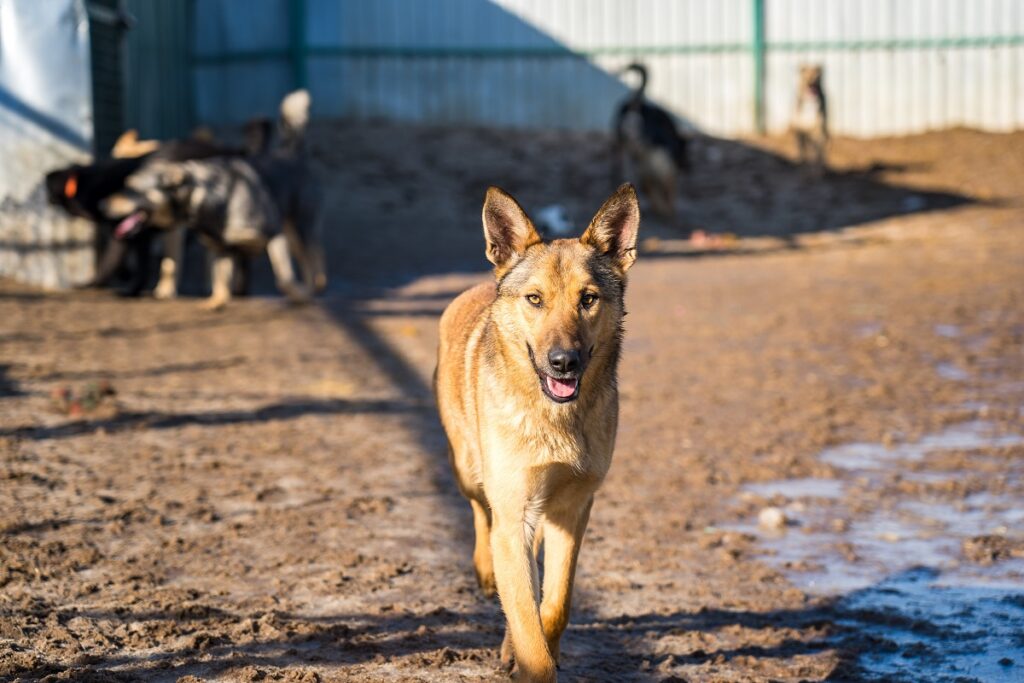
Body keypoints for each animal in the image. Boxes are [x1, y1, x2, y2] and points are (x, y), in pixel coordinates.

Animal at [434, 181, 638, 679]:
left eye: (588, 299)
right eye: (534, 299)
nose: (564, 362)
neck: (555, 419)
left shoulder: (573, 509)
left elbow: (554, 604)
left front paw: (532, 643)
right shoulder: (513, 514)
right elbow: (529, 625)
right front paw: (529, 656)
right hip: (469, 470)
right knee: (481, 512)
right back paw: (486, 571)